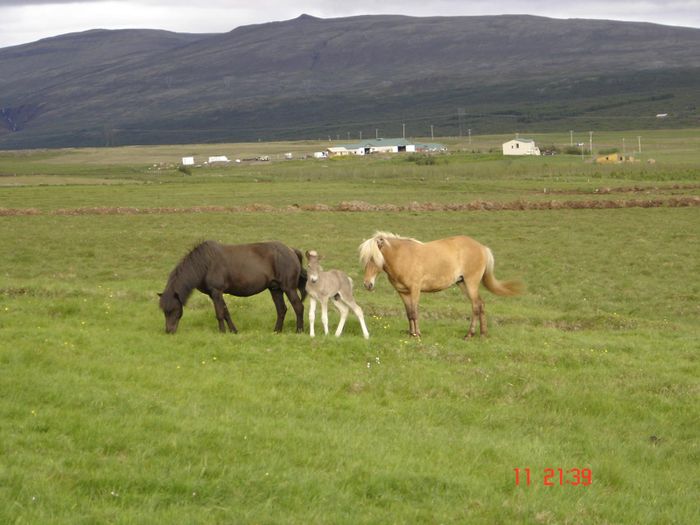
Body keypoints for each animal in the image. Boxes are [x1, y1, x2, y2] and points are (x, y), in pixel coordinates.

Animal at [162, 241, 308, 334]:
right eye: (164, 311)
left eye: (173, 309)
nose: (169, 331)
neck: (205, 263)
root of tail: (291, 250)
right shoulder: (215, 294)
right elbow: (226, 312)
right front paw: (233, 331)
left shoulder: (216, 291)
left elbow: (220, 313)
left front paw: (222, 332)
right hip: (275, 289)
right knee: (281, 309)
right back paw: (276, 331)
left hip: (288, 288)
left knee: (298, 307)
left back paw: (299, 331)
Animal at [360, 231, 520, 338]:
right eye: (364, 259)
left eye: (374, 258)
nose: (367, 284)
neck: (402, 257)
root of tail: (482, 247)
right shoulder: (403, 292)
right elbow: (409, 313)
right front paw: (411, 334)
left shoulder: (415, 289)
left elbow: (414, 312)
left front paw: (418, 334)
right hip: (462, 283)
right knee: (480, 304)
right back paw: (483, 334)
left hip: (471, 282)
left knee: (476, 305)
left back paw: (469, 334)